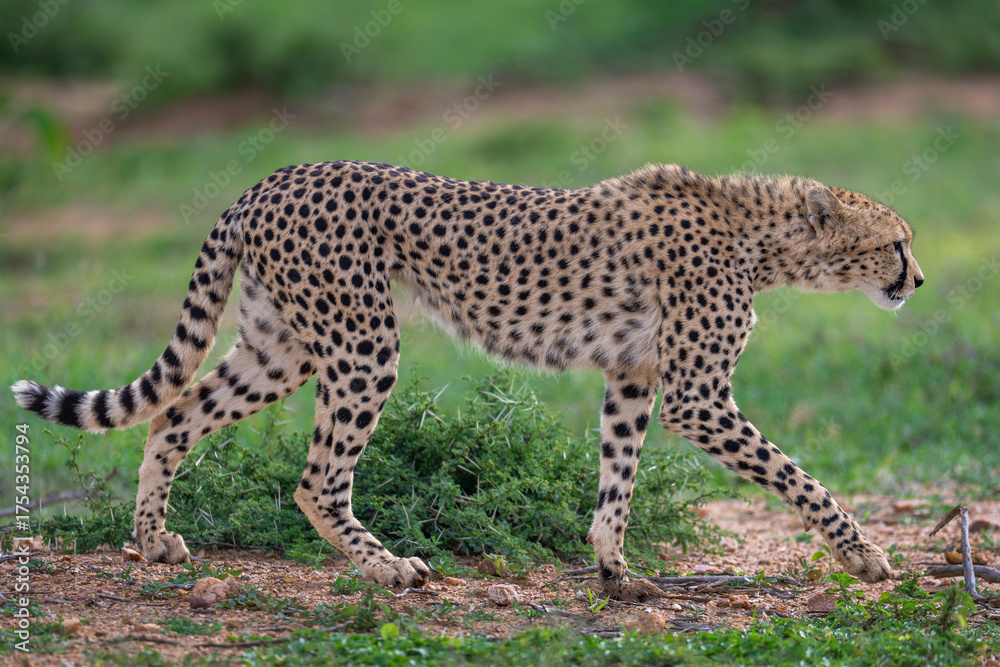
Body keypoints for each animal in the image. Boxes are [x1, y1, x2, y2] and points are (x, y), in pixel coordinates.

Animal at [13, 160, 924, 601]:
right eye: (898, 241)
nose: (916, 280)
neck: (762, 238)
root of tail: (274, 177)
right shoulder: (698, 395)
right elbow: (797, 474)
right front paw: (864, 553)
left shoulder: (632, 375)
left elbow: (616, 479)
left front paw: (613, 572)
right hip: (362, 340)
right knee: (315, 476)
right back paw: (388, 567)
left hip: (282, 346)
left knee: (174, 414)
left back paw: (153, 538)